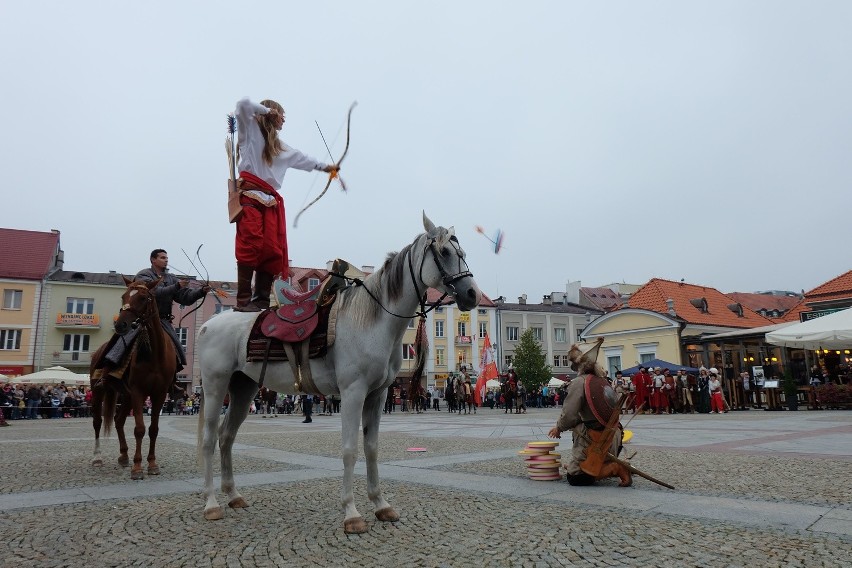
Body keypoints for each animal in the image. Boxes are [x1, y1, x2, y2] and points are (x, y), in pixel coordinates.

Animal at [89, 276, 176, 480]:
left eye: (143, 298)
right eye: (124, 296)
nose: (120, 325)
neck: (155, 355)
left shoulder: (159, 394)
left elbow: (153, 429)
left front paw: (152, 464)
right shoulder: (138, 391)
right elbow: (139, 429)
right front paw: (137, 468)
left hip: (126, 396)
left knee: (118, 420)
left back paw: (124, 455)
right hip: (98, 391)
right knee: (97, 422)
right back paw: (97, 457)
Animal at [196, 213, 482, 532]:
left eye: (462, 253)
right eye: (444, 252)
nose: (472, 294)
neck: (374, 320)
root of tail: (208, 326)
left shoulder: (378, 395)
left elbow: (371, 447)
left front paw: (380, 505)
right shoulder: (353, 392)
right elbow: (349, 449)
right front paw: (352, 513)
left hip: (243, 390)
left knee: (226, 437)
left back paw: (233, 495)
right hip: (215, 387)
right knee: (209, 440)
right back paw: (211, 504)